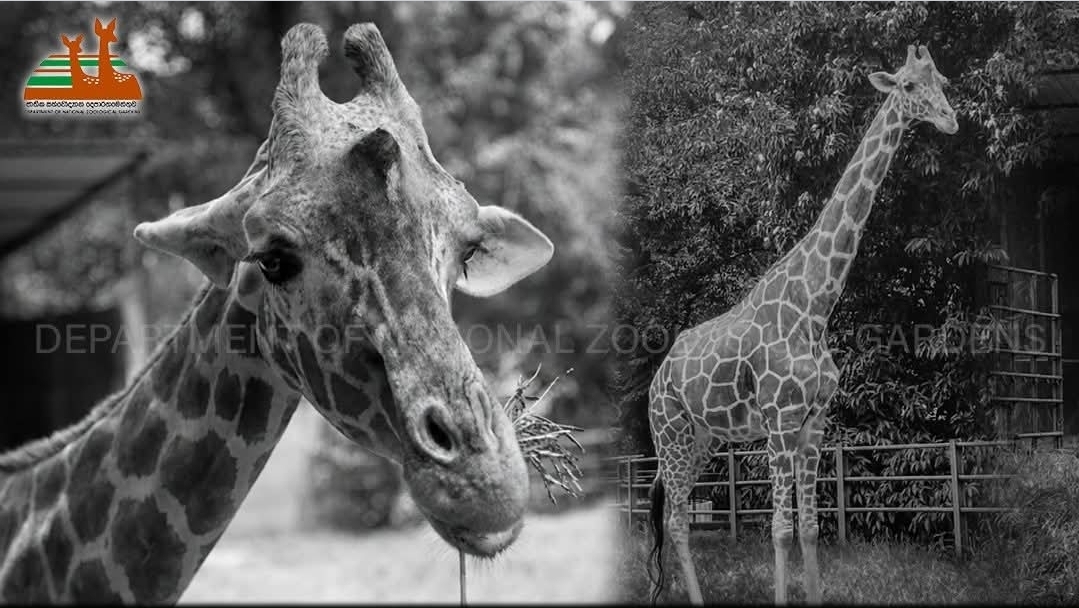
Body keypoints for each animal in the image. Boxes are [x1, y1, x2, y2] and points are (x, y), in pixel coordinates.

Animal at [645, 45, 958, 605]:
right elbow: (780, 529)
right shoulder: (779, 422)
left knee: (674, 516)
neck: (815, 307)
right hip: (671, 434)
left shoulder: (814, 425)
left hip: (704, 439)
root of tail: (657, 379)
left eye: (941, 80)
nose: (950, 119)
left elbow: (811, 528)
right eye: (906, 86)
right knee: (677, 520)